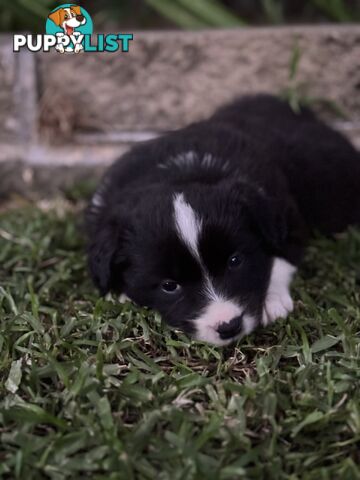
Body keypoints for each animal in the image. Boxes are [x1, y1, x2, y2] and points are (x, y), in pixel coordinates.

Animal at [86, 94, 360, 344]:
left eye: (235, 261)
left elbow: (281, 258)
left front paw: (272, 301)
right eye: (169, 286)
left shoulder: (285, 216)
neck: (177, 173)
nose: (229, 326)